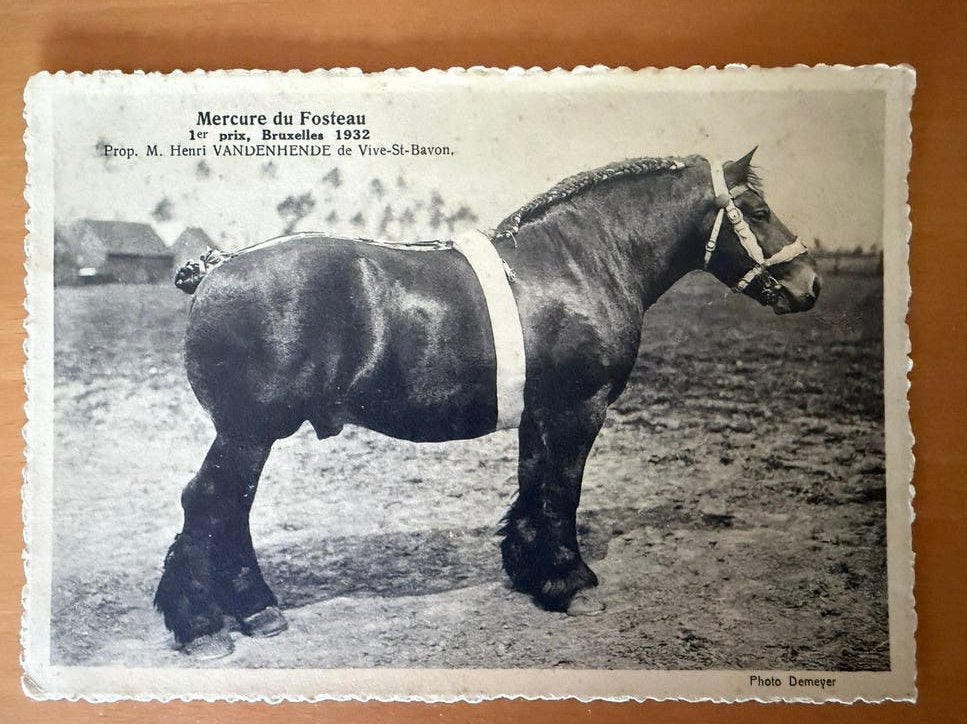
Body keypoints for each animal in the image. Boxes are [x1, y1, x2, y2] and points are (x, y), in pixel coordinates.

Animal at [155, 148, 821, 657]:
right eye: (758, 211)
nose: (810, 285)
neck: (580, 261)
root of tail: (215, 270)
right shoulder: (580, 406)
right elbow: (563, 491)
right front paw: (571, 580)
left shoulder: (538, 412)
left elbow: (533, 485)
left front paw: (530, 570)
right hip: (250, 431)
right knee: (210, 504)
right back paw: (212, 624)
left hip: (250, 434)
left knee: (226, 509)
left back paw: (238, 613)